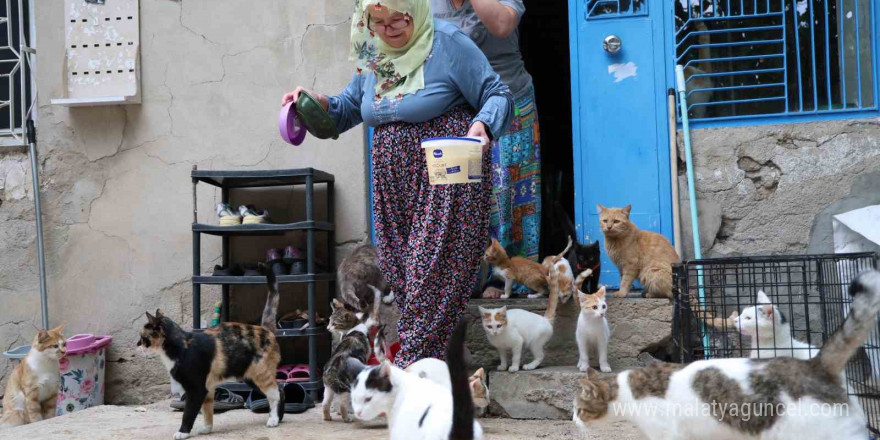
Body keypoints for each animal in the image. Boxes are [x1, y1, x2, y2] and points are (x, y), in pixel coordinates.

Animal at [138, 264, 282, 436]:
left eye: (143, 337)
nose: (137, 344)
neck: (182, 346)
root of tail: (265, 329)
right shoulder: (207, 389)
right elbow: (207, 411)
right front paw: (206, 429)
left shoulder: (196, 389)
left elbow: (189, 413)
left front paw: (183, 432)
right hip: (249, 376)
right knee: (281, 389)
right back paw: (279, 418)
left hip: (260, 374)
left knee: (275, 393)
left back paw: (274, 419)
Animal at [322, 286, 380, 422]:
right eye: (330, 321)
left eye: (334, 323)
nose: (327, 328)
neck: (354, 327)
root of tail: (329, 373)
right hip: (344, 388)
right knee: (342, 404)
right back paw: (347, 418)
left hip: (328, 389)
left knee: (325, 403)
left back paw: (327, 418)